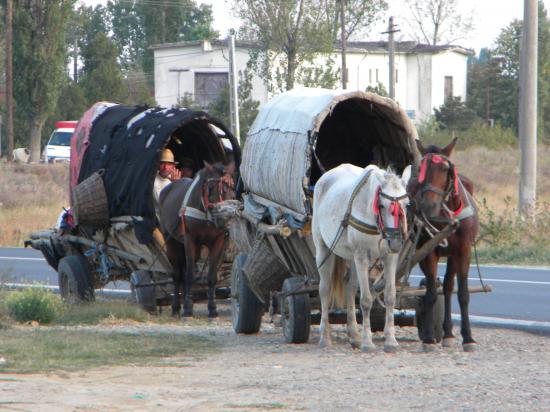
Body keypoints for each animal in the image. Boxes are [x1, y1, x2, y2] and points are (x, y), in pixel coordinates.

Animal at [161, 161, 236, 318]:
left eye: (231, 185)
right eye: (211, 187)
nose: (226, 216)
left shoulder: (219, 240)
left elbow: (211, 276)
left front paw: (212, 309)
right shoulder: (190, 239)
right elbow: (189, 275)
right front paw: (187, 309)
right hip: (172, 241)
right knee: (178, 274)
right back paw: (177, 306)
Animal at [314, 163, 410, 352]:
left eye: (406, 204)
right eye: (381, 205)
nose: (395, 241)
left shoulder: (390, 258)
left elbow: (390, 296)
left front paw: (390, 340)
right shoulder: (362, 257)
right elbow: (365, 300)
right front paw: (368, 342)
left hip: (352, 257)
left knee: (350, 287)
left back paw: (354, 334)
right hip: (323, 248)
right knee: (325, 289)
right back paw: (324, 336)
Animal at [408, 138, 480, 350]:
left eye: (445, 168)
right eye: (421, 169)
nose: (427, 205)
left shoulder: (463, 251)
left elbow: (462, 293)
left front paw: (468, 337)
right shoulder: (428, 251)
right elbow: (431, 293)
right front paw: (428, 338)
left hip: (453, 255)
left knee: (448, 286)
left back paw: (448, 333)